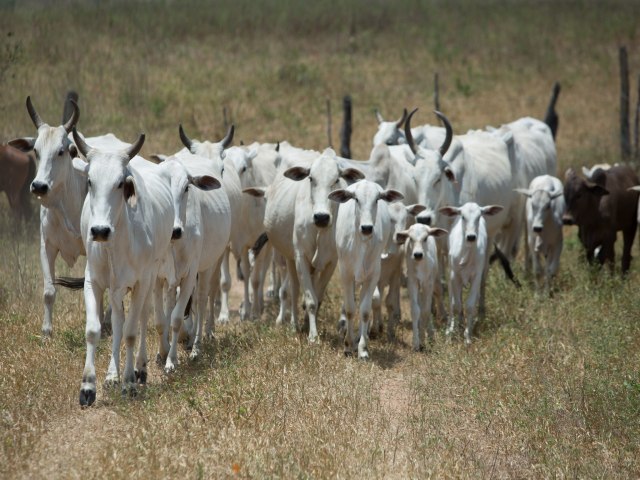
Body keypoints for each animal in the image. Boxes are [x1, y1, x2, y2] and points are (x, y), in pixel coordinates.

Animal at [72, 128, 175, 404]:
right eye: (89, 181)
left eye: (120, 183)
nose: (99, 230)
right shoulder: (93, 281)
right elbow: (94, 330)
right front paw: (88, 386)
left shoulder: (142, 281)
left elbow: (130, 331)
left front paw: (129, 382)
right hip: (117, 287)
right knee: (118, 320)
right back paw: (112, 375)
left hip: (151, 277)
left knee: (141, 317)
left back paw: (140, 369)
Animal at [330, 178, 400, 358]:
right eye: (356, 199)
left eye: (377, 200)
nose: (367, 228)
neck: (361, 242)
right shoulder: (346, 274)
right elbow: (350, 309)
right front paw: (348, 345)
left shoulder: (373, 275)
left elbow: (365, 311)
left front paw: (362, 349)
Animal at [442, 202, 502, 344]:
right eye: (463, 217)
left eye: (479, 217)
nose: (471, 237)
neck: (467, 254)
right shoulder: (454, 276)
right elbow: (456, 304)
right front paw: (453, 332)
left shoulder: (476, 276)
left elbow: (469, 305)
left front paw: (467, 337)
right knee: (453, 301)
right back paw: (451, 327)